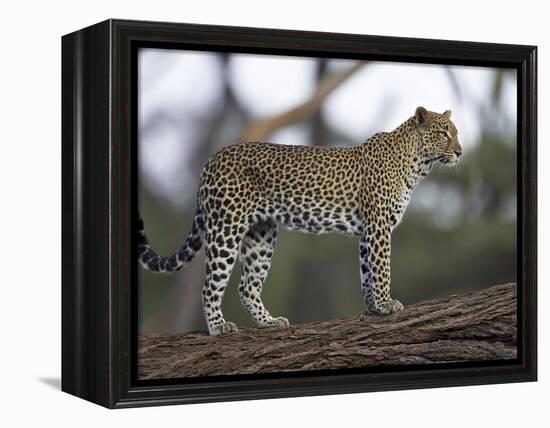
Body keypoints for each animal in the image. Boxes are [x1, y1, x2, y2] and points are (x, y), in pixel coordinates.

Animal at [138, 106, 462, 334]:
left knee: (247, 287)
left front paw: (372, 308)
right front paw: (386, 305)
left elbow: (366, 271)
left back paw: (269, 322)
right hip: (226, 227)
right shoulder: (379, 226)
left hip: (261, 234)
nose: (460, 152)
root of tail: (211, 159)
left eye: (455, 132)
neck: (418, 164)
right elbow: (382, 269)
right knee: (210, 285)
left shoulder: (367, 231)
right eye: (443, 134)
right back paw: (219, 327)